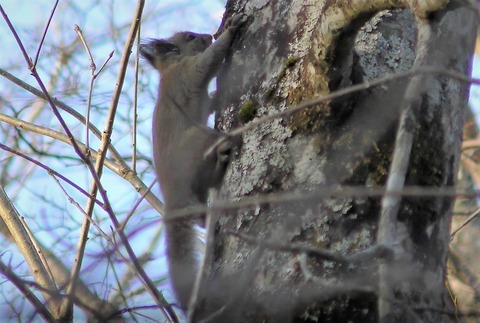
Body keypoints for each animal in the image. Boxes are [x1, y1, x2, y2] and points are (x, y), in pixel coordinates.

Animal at [138, 15, 244, 312]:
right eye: (189, 37)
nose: (208, 35)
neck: (170, 70)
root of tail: (174, 198)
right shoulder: (189, 73)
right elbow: (207, 63)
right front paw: (230, 31)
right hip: (199, 139)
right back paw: (221, 159)